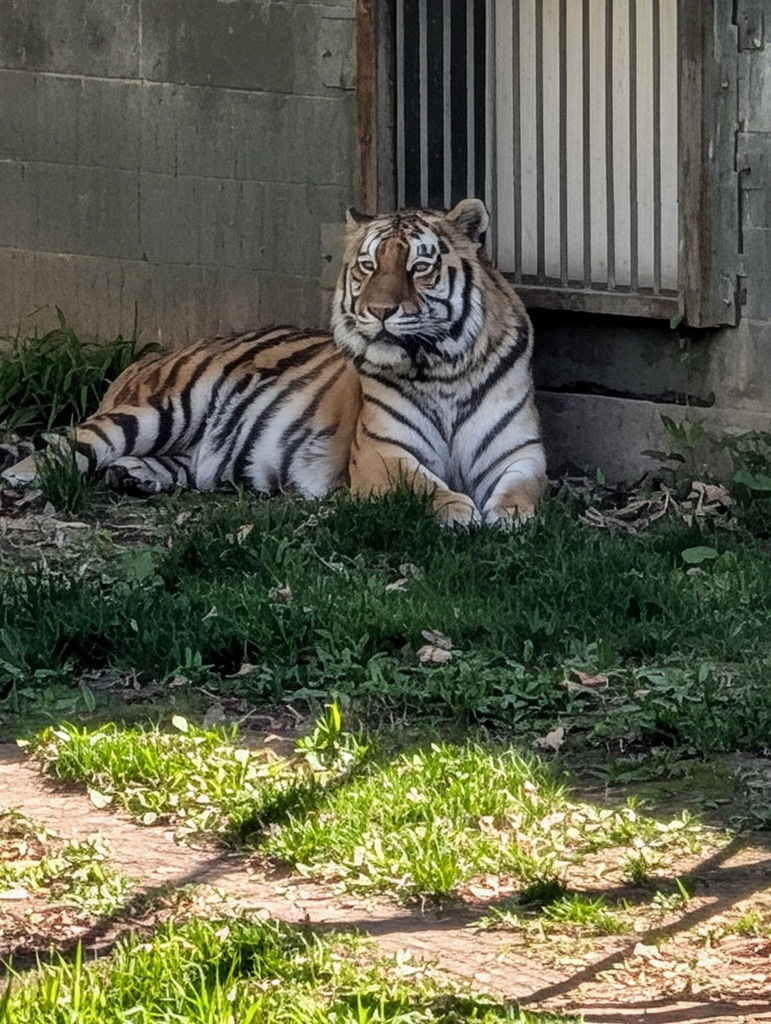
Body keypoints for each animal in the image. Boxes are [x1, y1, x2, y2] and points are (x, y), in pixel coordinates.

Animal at [1, 199, 546, 527]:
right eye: (368, 266)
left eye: (419, 267)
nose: (379, 310)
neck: (441, 369)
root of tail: (138, 365)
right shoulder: (383, 455)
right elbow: (420, 484)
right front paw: (457, 508)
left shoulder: (519, 454)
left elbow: (524, 489)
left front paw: (510, 517)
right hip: (158, 411)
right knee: (65, 447)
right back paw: (22, 479)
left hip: (188, 448)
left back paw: (134, 477)